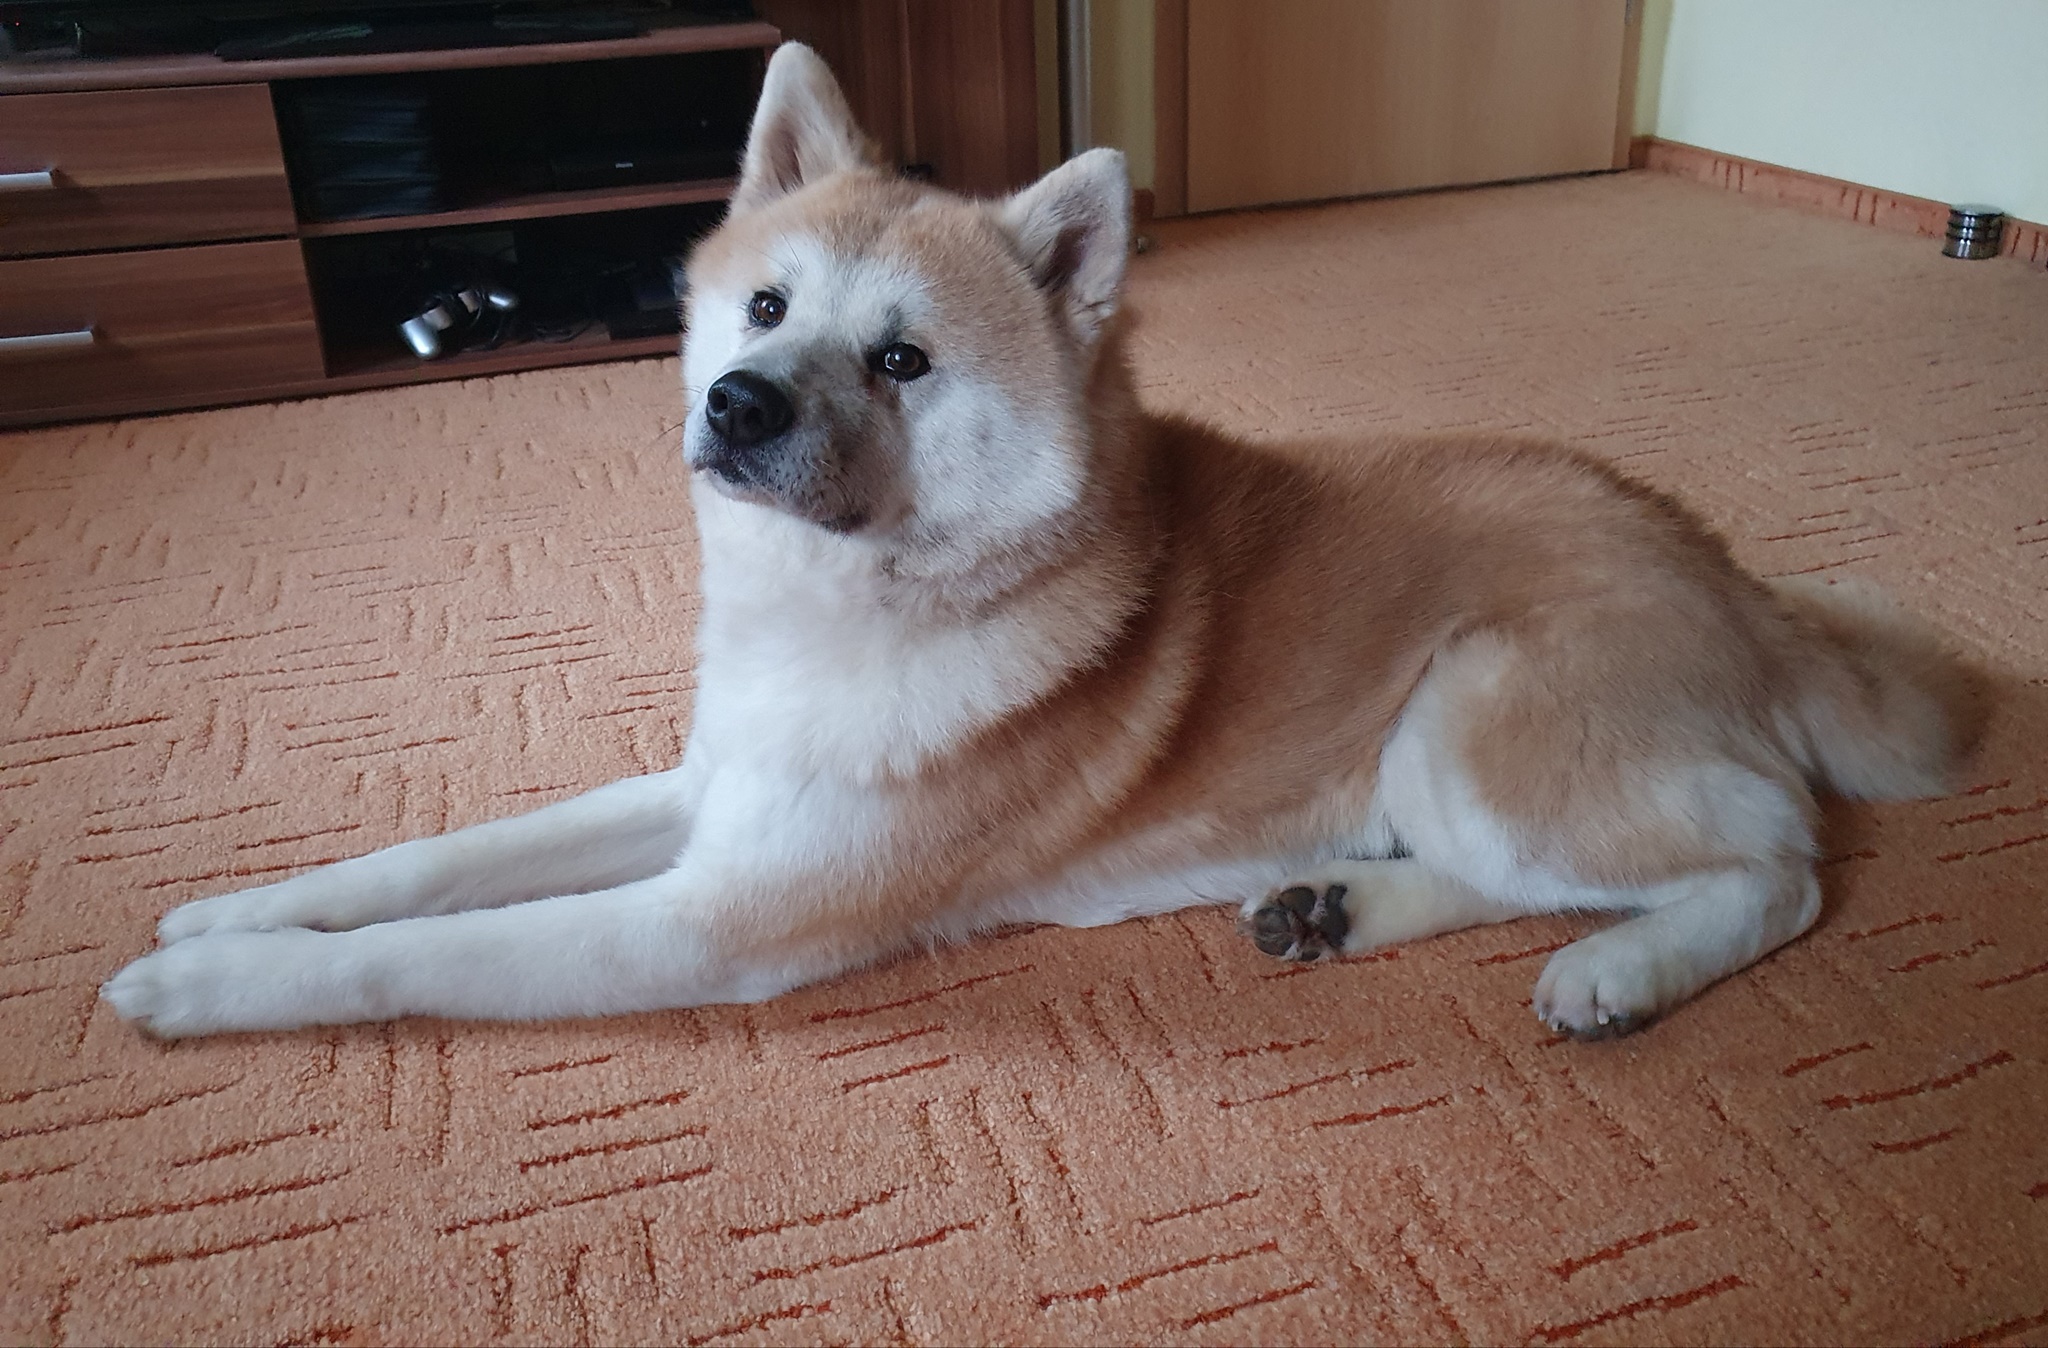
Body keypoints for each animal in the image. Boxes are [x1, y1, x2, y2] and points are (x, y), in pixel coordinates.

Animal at [102, 43, 1982, 1041]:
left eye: (902, 362)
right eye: (764, 307)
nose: (740, 405)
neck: (847, 611)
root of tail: (1728, 576)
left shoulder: (715, 918)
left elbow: (423, 951)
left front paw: (212, 989)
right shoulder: (709, 790)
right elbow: (430, 863)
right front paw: (234, 911)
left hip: (1476, 721)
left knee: (1774, 862)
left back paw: (1621, 965)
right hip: (1438, 765)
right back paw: (1338, 909)